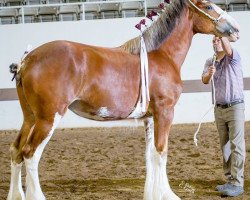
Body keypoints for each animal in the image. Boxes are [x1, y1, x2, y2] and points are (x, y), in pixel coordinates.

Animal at [6, 0, 239, 200]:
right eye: (209, 6)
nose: (235, 29)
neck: (162, 56)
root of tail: (27, 60)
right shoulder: (165, 112)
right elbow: (162, 152)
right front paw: (167, 194)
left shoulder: (149, 118)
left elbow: (150, 155)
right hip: (48, 118)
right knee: (30, 154)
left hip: (30, 118)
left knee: (16, 151)